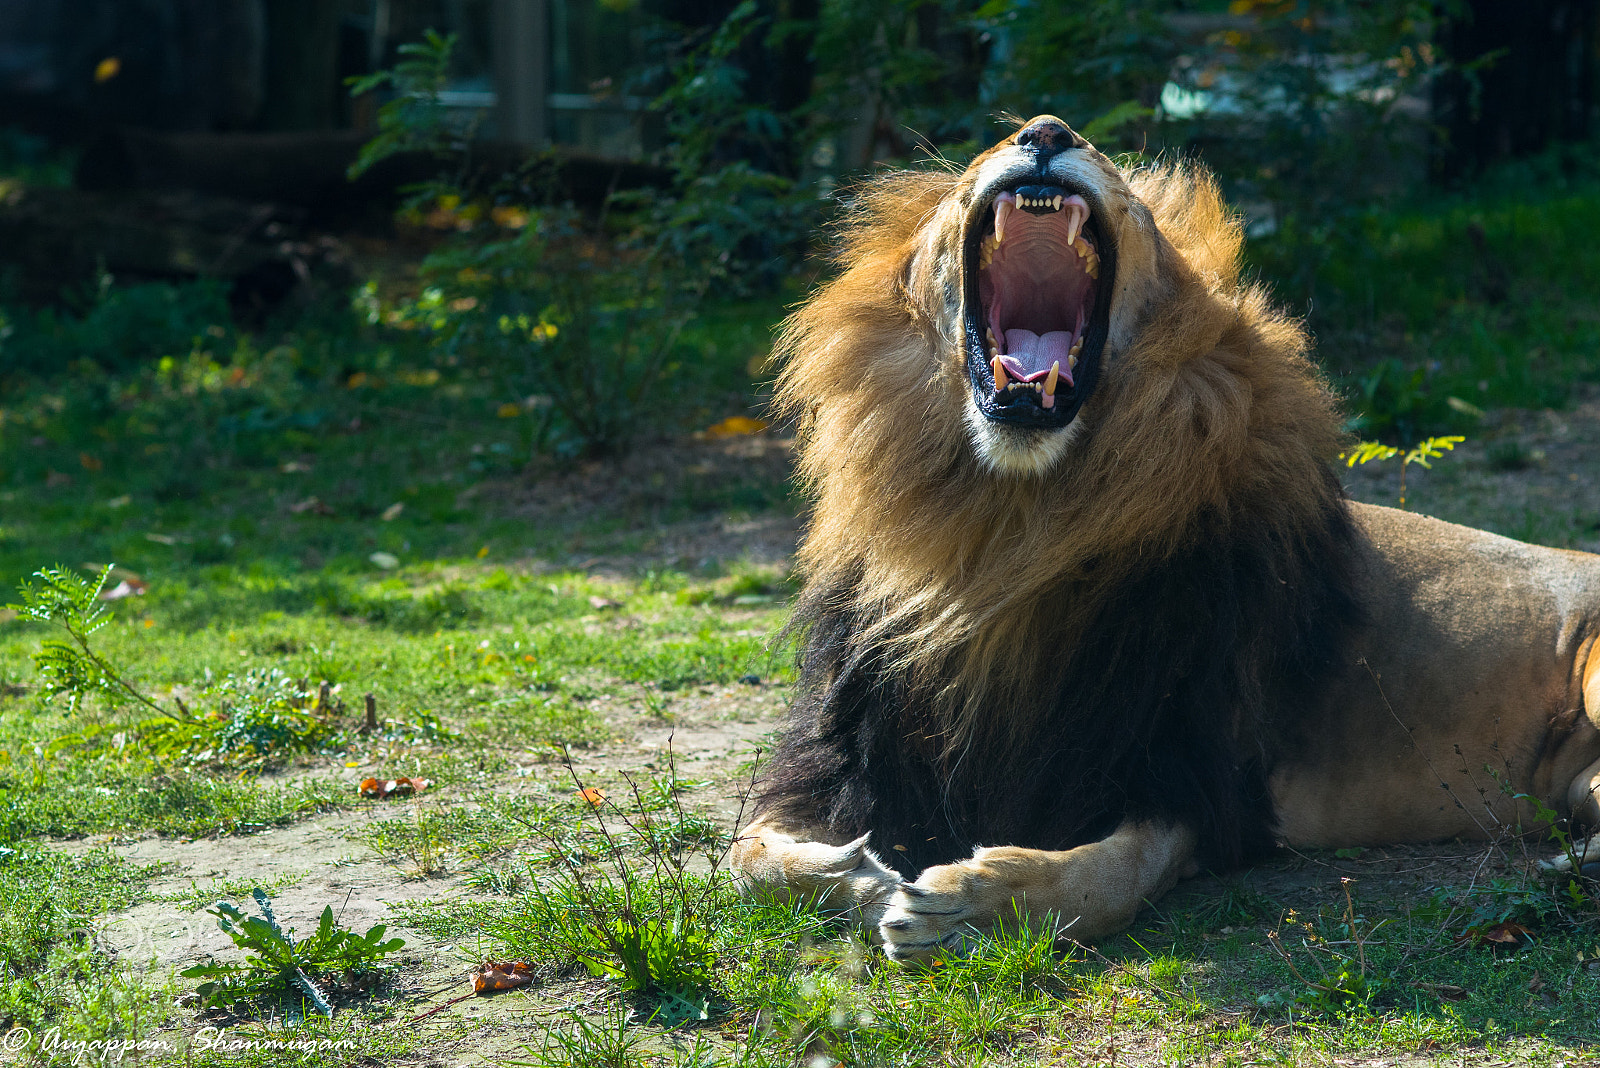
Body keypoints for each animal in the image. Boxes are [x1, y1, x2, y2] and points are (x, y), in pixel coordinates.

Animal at [732, 115, 1600, 959]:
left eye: (1122, 185)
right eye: (982, 155)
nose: (1046, 131)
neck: (1004, 529)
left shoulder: (1196, 775)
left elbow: (1104, 879)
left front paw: (965, 905)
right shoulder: (843, 754)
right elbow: (748, 857)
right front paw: (866, 877)